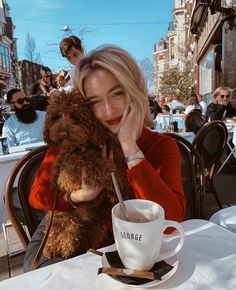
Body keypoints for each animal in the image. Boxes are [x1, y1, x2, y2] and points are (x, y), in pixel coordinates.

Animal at [43, 90, 132, 258]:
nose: (62, 133)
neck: (78, 149)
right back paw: (56, 247)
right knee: (59, 232)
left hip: (97, 228)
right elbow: (92, 164)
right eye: (56, 117)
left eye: (76, 117)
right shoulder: (67, 176)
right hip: (62, 216)